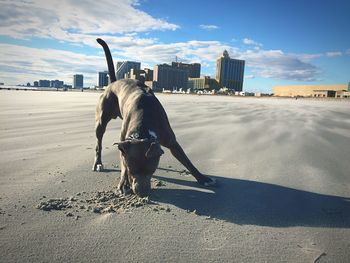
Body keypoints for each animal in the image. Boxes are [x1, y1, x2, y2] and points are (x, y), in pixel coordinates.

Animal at [93, 38, 215, 197]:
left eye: (151, 170)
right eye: (132, 171)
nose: (142, 193)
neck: (143, 128)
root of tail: (114, 82)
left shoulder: (171, 141)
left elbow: (186, 160)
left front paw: (203, 178)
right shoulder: (123, 145)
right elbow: (123, 165)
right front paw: (123, 184)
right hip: (101, 121)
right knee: (98, 143)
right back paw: (98, 163)